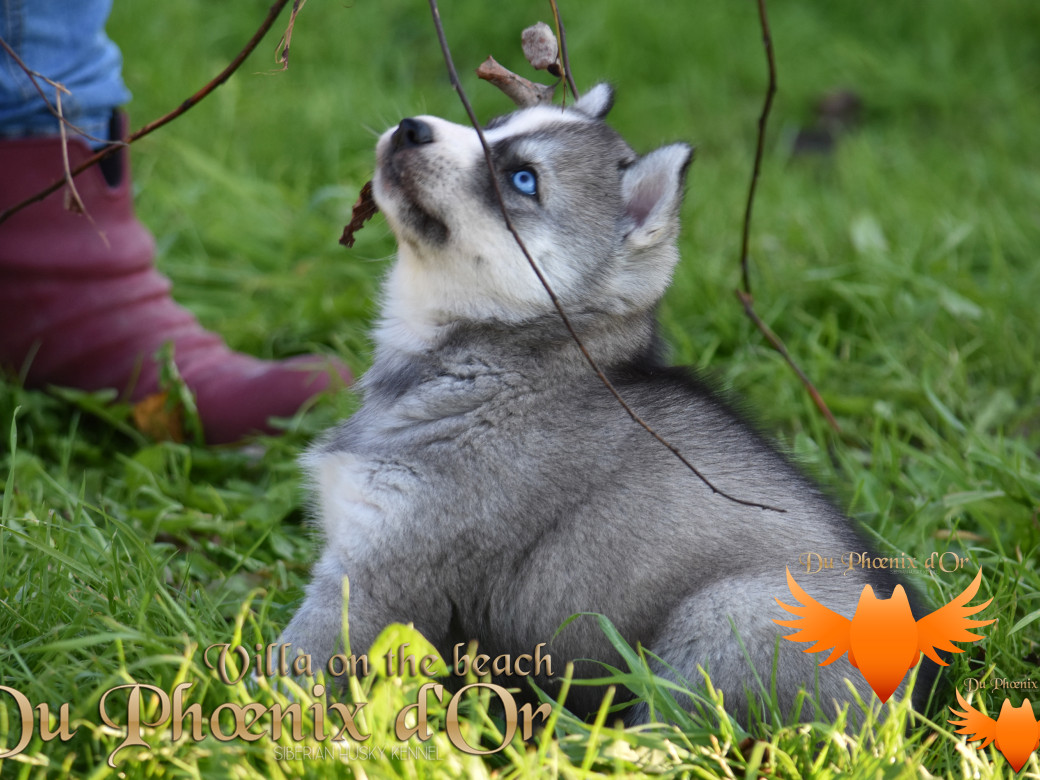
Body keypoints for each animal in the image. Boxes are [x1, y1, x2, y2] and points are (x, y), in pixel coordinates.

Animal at [278, 85, 935, 728]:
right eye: (491, 122)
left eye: (522, 178)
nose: (412, 127)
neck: (500, 355)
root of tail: (910, 710)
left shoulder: (376, 578)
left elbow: (294, 662)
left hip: (729, 614)